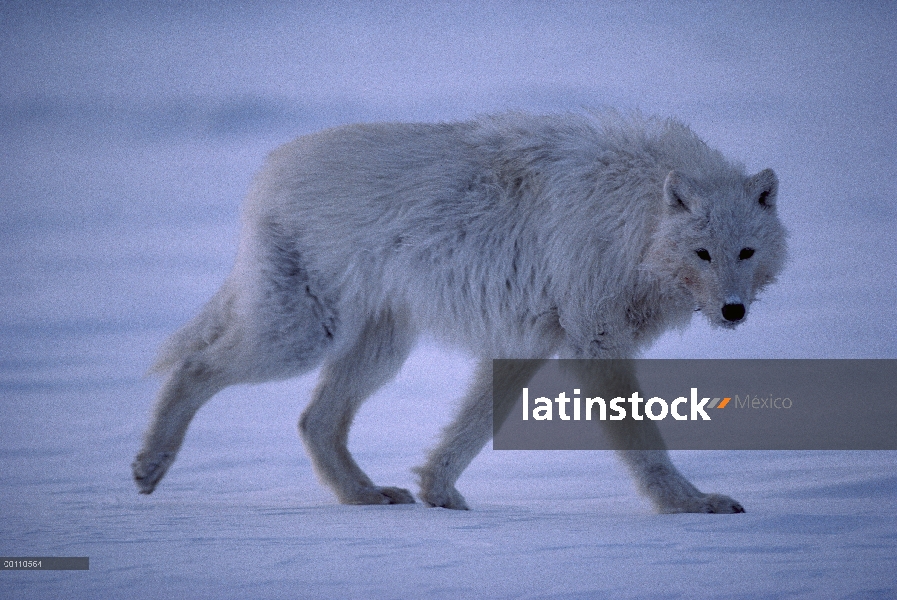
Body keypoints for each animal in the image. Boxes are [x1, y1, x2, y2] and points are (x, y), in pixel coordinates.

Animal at [131, 111, 784, 510]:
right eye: (702, 252)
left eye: (745, 252)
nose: (732, 311)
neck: (633, 219)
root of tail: (269, 170)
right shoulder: (594, 339)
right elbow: (644, 441)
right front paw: (691, 504)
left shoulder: (529, 342)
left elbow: (471, 428)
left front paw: (438, 491)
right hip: (304, 336)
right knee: (195, 367)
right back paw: (149, 467)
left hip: (379, 351)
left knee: (313, 420)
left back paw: (367, 496)